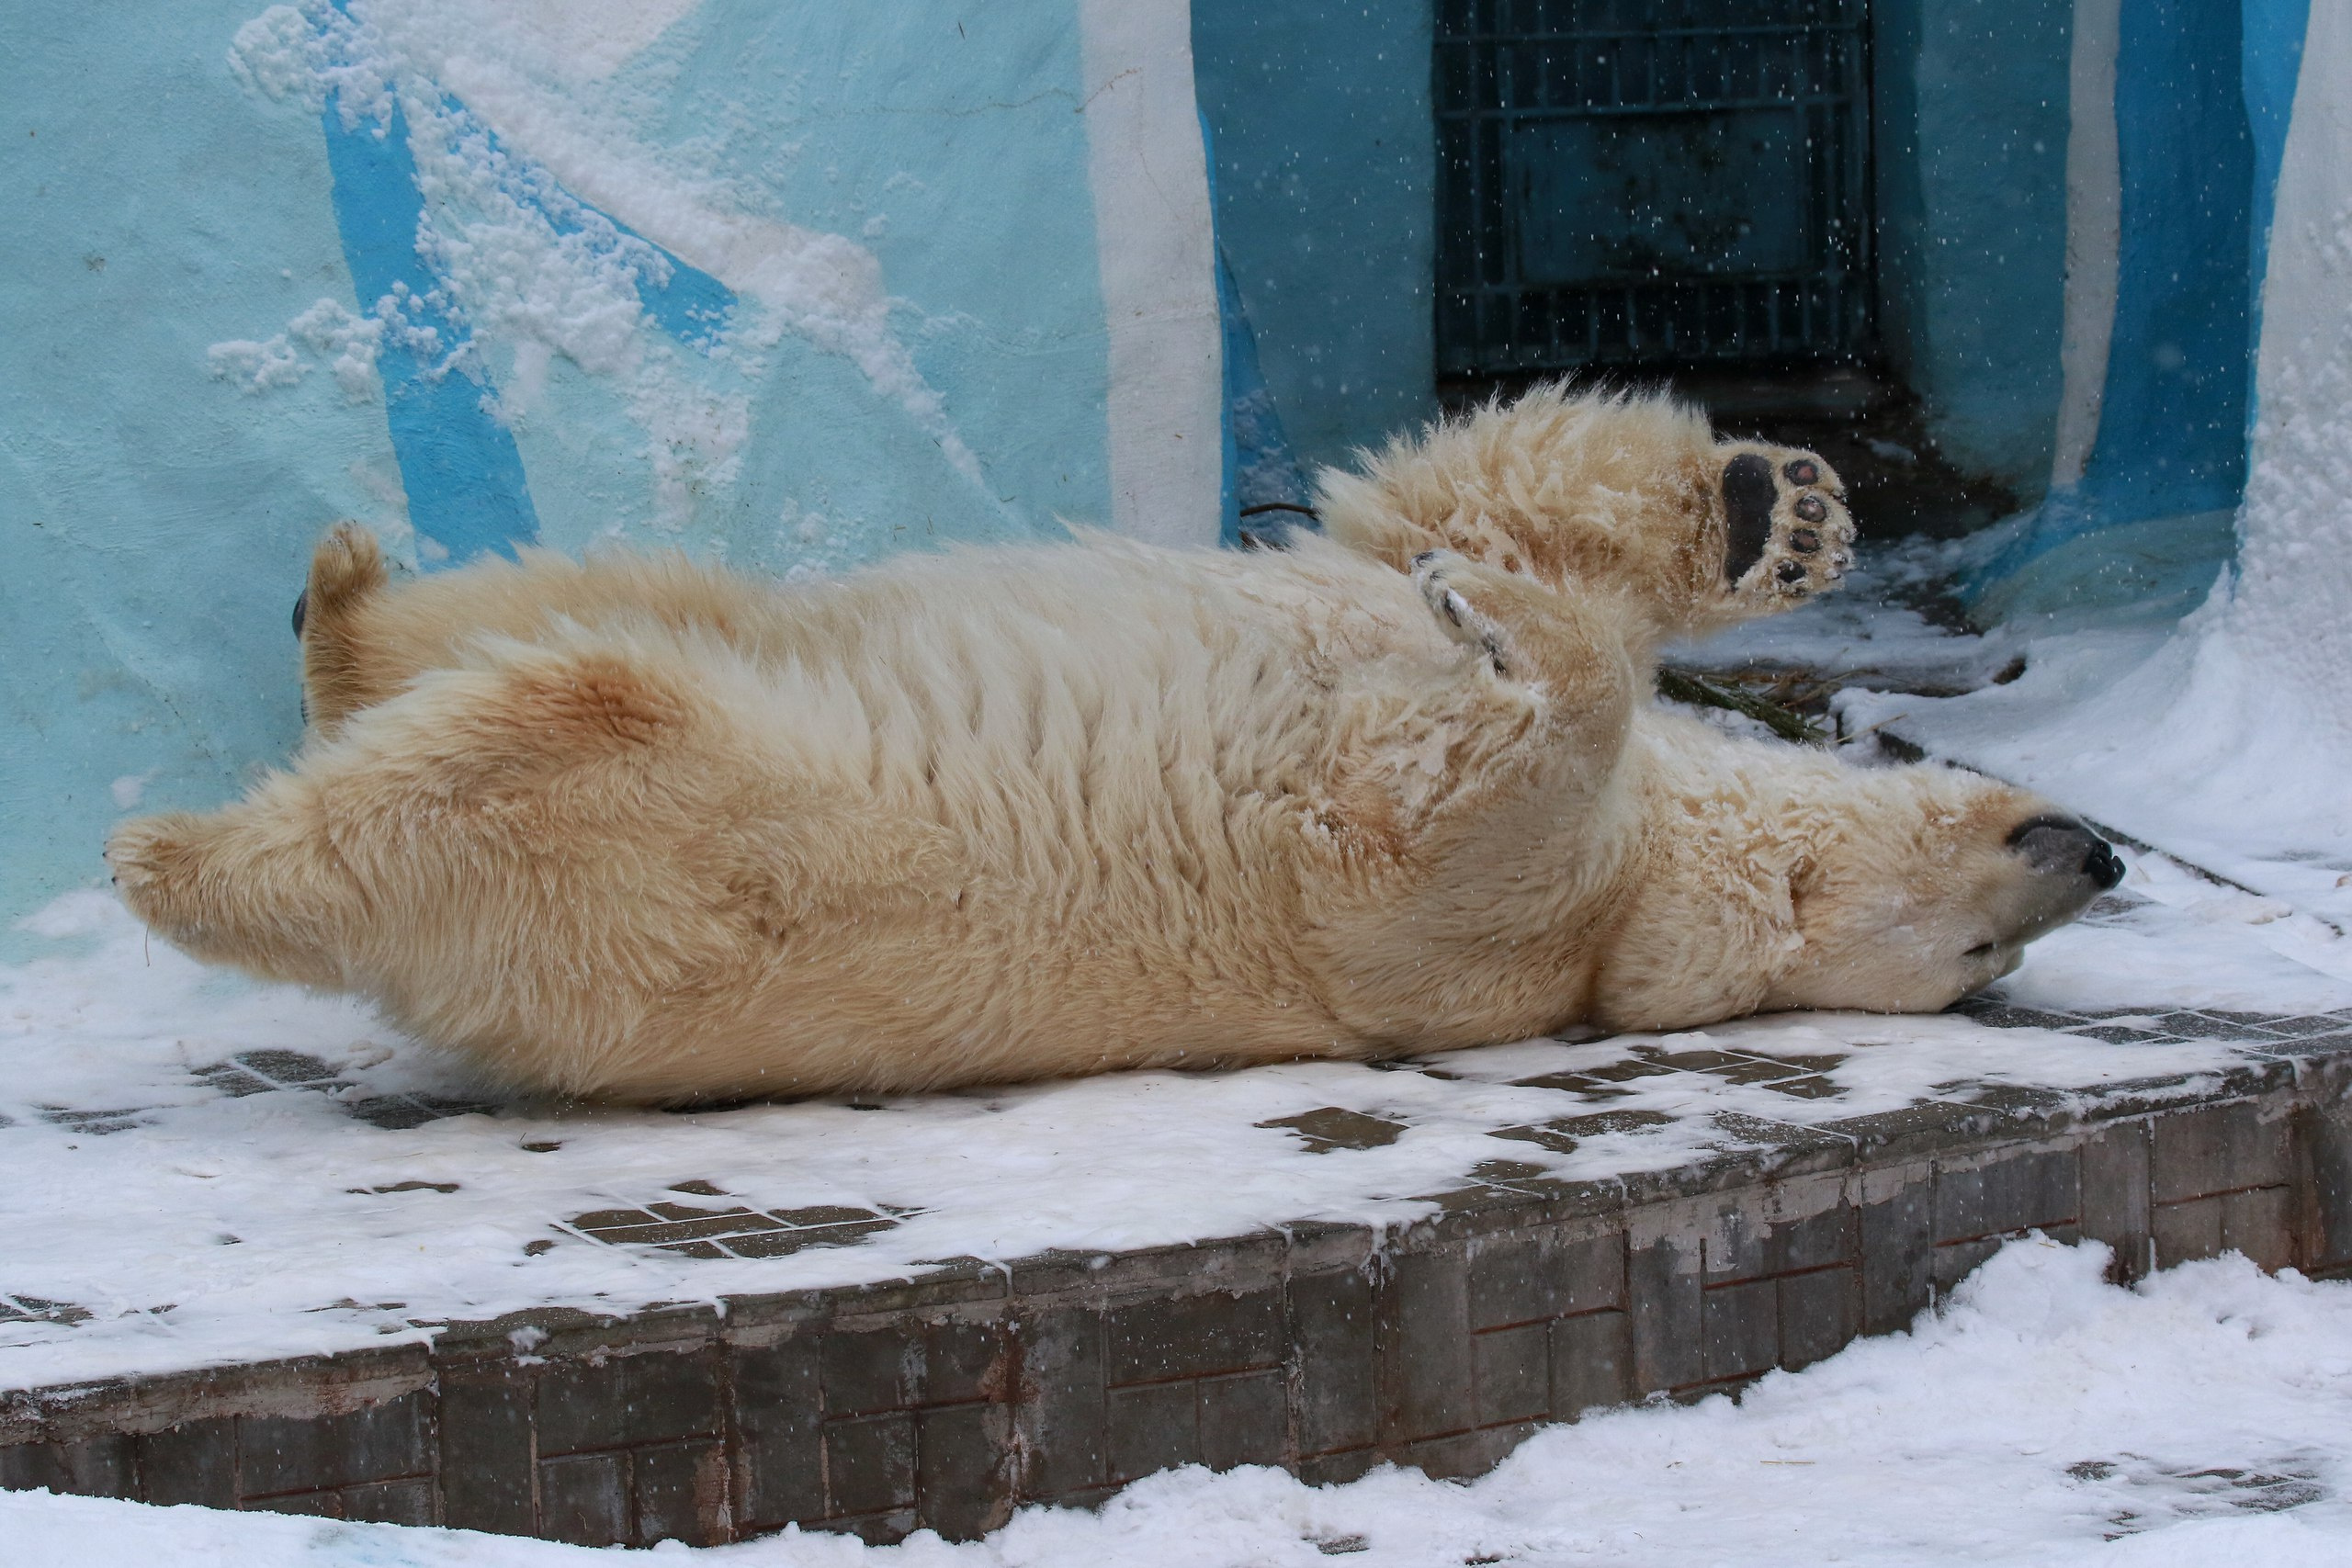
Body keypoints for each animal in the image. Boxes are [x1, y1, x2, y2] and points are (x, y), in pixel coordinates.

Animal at [110, 389, 2126, 1104]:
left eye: (1968, 964)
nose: (2098, 852)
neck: (1655, 872)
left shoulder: (1462, 931)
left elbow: (1440, 818)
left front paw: (1516, 645)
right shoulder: (1367, 593)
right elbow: (1441, 503)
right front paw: (1769, 507)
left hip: (668, 846)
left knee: (535, 724)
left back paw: (177, 851)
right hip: (724, 657)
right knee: (600, 596)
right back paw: (341, 594)